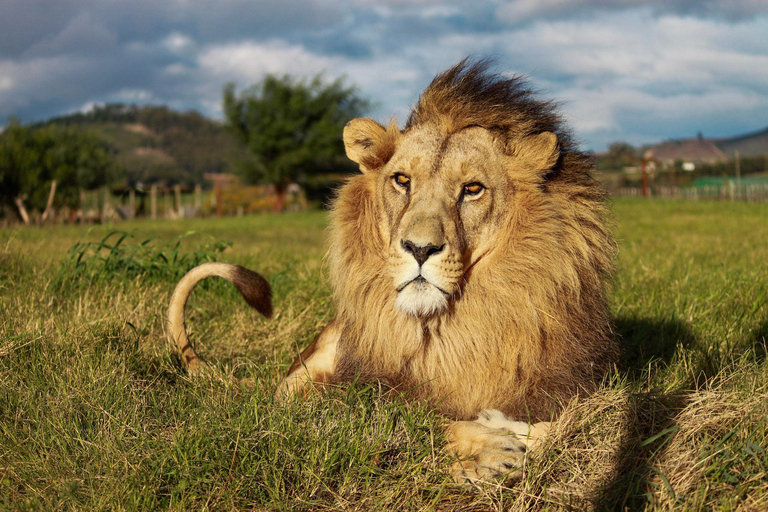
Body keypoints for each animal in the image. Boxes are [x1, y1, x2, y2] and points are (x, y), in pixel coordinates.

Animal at [168, 59, 618, 483]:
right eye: (402, 180)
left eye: (473, 189)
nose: (420, 248)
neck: (450, 329)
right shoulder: (347, 393)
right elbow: (411, 417)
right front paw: (489, 448)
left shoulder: (578, 386)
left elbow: (572, 421)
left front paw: (508, 430)